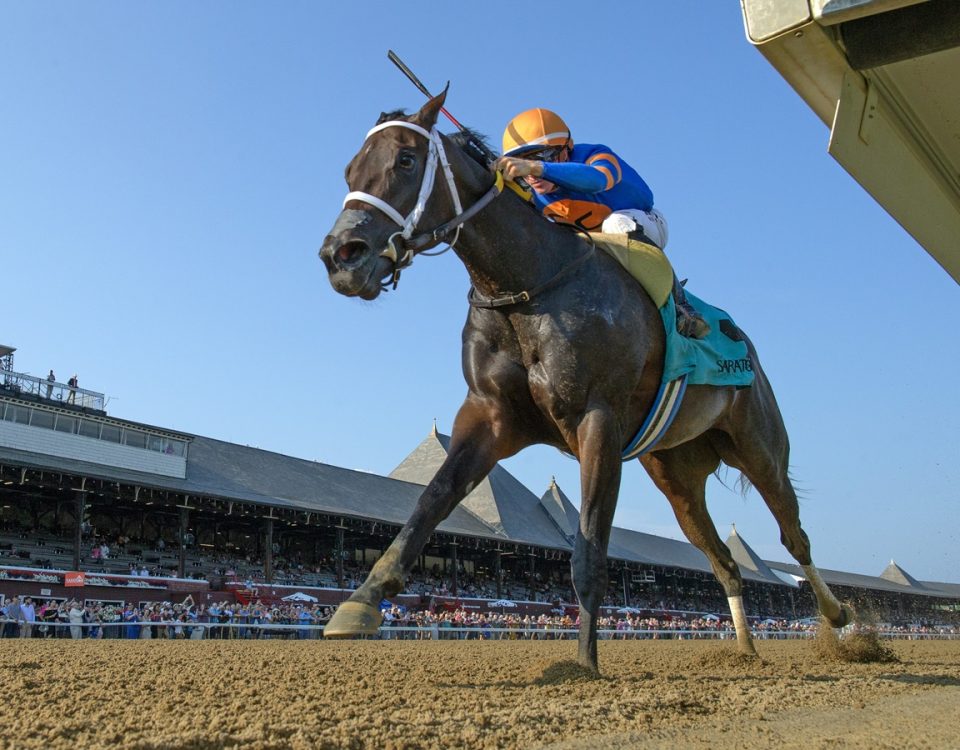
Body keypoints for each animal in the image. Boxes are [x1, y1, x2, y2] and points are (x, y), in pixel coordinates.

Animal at [320, 92, 848, 676]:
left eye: (406, 160)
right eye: (349, 169)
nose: (341, 256)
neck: (527, 285)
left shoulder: (596, 421)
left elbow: (590, 547)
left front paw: (584, 662)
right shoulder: (489, 415)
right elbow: (430, 501)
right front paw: (361, 602)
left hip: (758, 444)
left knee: (794, 536)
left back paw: (841, 621)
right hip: (676, 475)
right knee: (725, 560)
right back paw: (746, 649)